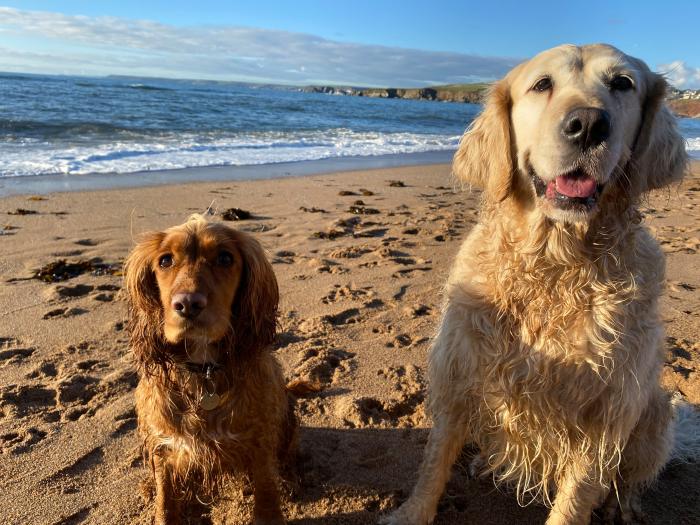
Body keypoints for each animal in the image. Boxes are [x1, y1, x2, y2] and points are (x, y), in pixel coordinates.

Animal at [386, 45, 692, 524]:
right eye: (542, 84)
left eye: (623, 84)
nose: (588, 123)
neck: (554, 264)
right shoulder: (458, 373)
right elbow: (434, 464)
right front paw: (411, 513)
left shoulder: (605, 412)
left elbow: (576, 497)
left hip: (655, 411)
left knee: (629, 481)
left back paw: (623, 507)